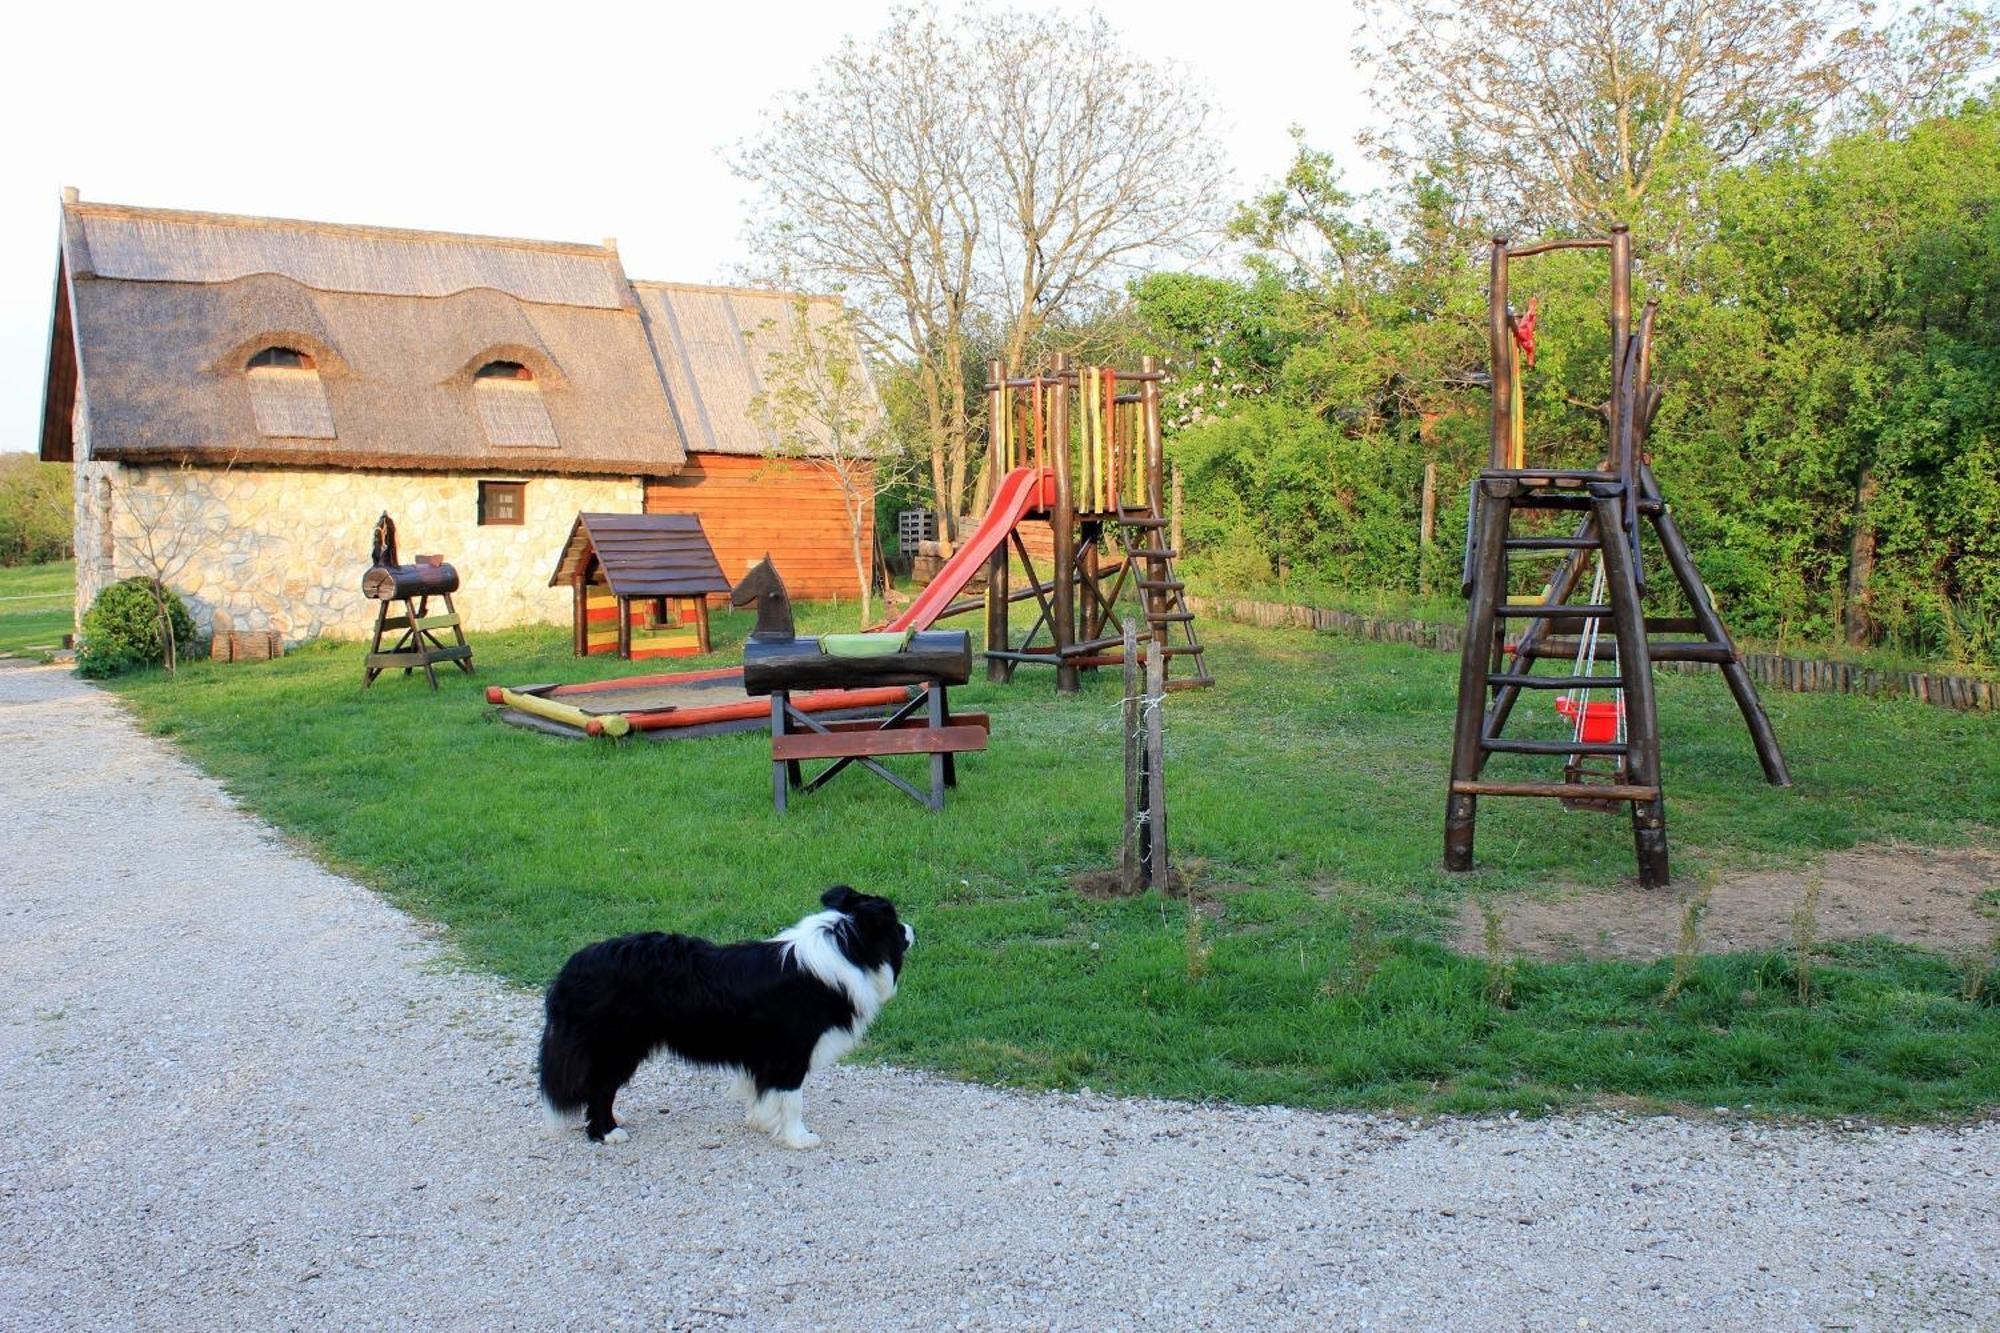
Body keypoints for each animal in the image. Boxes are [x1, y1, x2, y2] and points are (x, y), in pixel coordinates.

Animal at [532, 880, 908, 1144]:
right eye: (895, 924)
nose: (912, 929)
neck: (845, 946)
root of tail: (573, 967)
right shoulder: (791, 1052)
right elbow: (793, 1099)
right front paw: (799, 1138)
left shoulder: (766, 1056)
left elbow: (764, 1092)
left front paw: (760, 1121)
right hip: (619, 1046)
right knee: (601, 1088)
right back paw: (606, 1132)